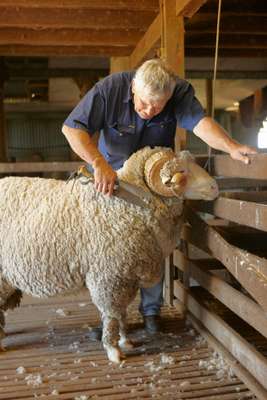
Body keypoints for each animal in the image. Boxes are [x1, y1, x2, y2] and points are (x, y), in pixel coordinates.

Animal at [0, 146, 219, 362]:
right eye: (181, 171)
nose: (214, 187)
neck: (133, 201)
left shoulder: (126, 276)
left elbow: (122, 312)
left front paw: (125, 340)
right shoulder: (109, 276)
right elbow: (112, 314)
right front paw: (113, 349)